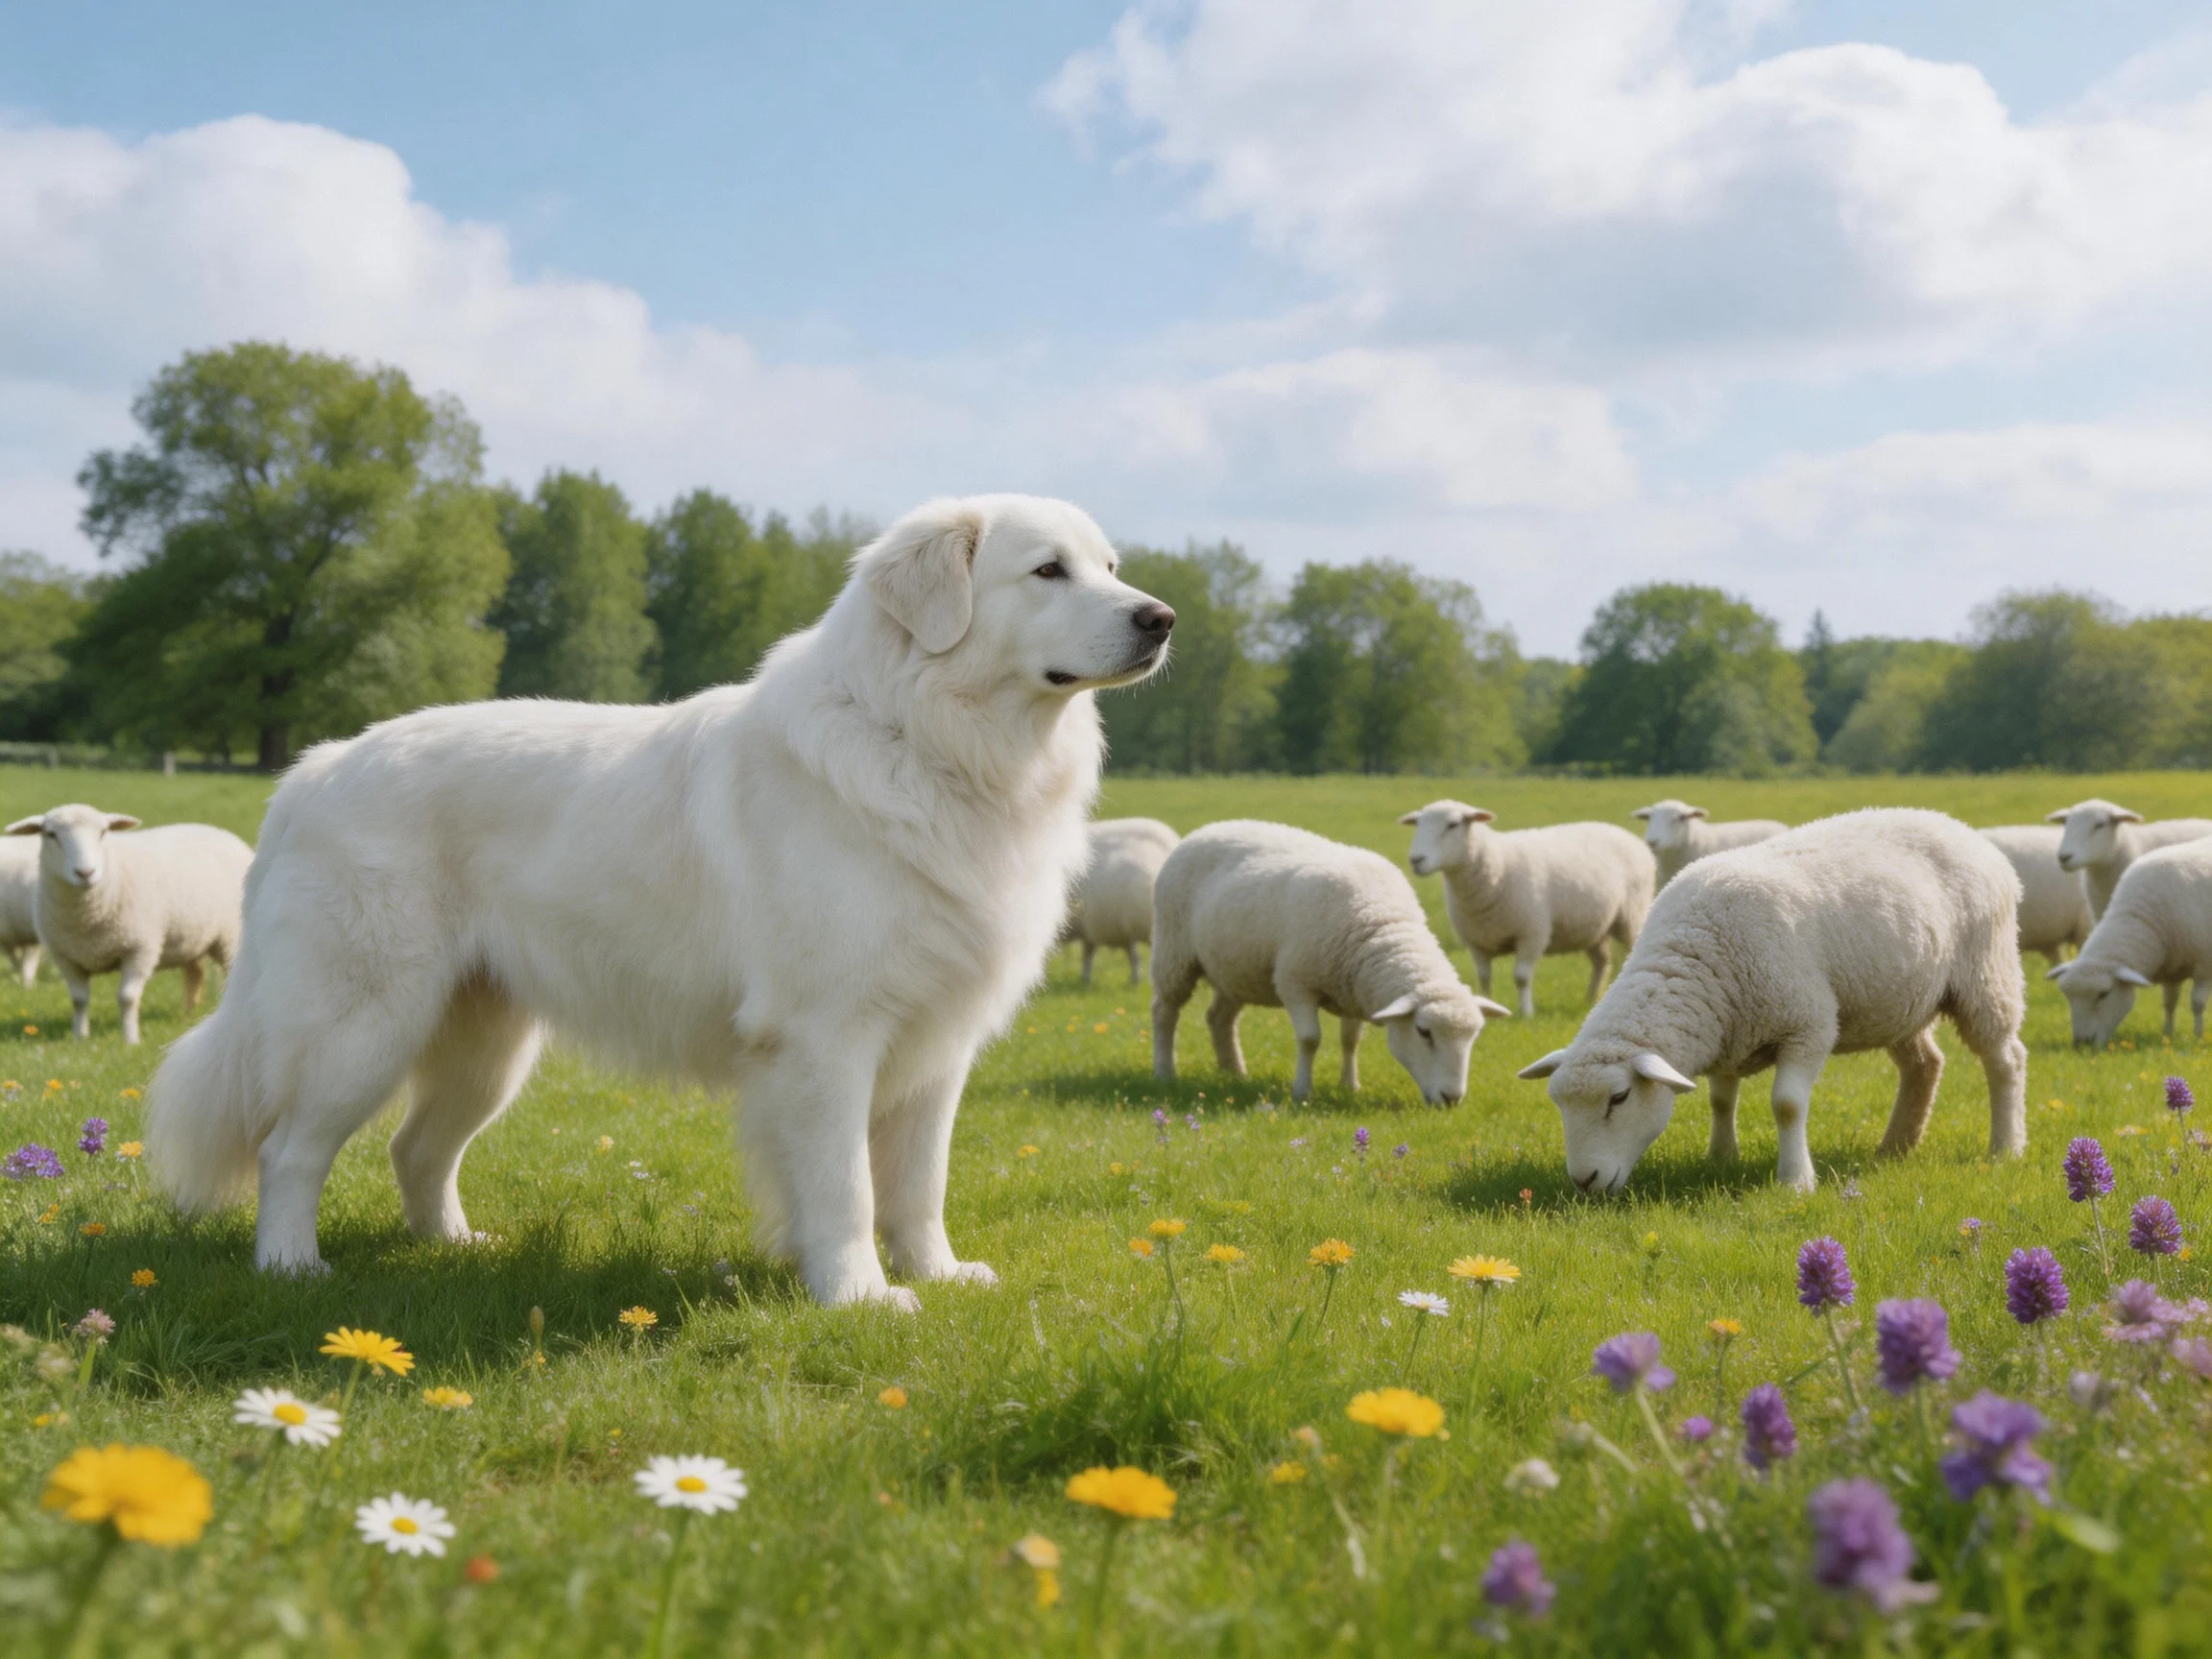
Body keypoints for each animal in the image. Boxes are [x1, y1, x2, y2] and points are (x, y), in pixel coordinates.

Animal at [5, 804, 254, 1044]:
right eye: (51, 834)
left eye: (103, 832)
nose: (85, 873)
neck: (86, 917)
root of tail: (219, 831)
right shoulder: (65, 957)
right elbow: (78, 1000)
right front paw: (79, 1038)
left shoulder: (140, 949)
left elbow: (127, 998)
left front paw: (130, 1039)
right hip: (193, 937)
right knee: (195, 972)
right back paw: (189, 1012)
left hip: (230, 936)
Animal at [1150, 819, 1508, 1103]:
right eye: (1424, 1033)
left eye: (1473, 1037)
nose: (1451, 1098)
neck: (1380, 922)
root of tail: (1207, 828)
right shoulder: (1295, 983)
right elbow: (1310, 1040)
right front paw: (1302, 1091)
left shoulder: (1354, 987)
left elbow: (1350, 1041)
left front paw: (1350, 1085)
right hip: (1173, 951)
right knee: (1165, 1012)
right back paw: (1165, 1071)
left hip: (1235, 969)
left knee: (1219, 1019)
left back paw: (1234, 1072)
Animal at [1399, 802, 1654, 1018]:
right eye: (1418, 824)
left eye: (1452, 824)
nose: (1416, 860)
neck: (1496, 865)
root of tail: (1625, 834)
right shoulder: (1476, 941)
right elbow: (1484, 977)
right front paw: (1487, 1007)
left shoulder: (1532, 933)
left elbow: (1521, 977)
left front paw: (1526, 1013)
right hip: (1592, 927)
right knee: (1601, 961)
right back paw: (1591, 999)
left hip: (1632, 916)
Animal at [1517, 809, 2026, 1195]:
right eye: (1559, 1104)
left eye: (1619, 1098)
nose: (1584, 1181)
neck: (1697, 946)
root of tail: (1961, 829)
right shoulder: (1728, 1030)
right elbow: (1721, 1100)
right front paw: (1722, 1157)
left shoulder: (1808, 1024)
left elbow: (1787, 1106)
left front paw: (1796, 1181)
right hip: (1897, 1001)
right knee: (1925, 1065)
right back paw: (1896, 1147)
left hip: (1986, 975)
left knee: (2006, 1060)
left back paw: (2006, 1147)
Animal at [2046, 838, 2212, 1047]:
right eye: (2068, 996)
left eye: (2104, 994)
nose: (2083, 1044)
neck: (2144, 920)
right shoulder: (2172, 969)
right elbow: (2169, 1003)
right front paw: (2167, 1034)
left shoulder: (2204, 967)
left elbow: (2197, 1004)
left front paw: (2198, 1036)